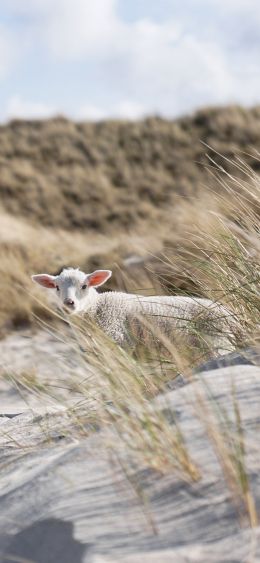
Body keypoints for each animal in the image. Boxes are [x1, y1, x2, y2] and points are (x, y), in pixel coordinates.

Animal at [32, 268, 236, 352]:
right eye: (56, 287)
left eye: (84, 286)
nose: (69, 303)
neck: (96, 308)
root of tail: (232, 317)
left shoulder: (120, 341)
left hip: (218, 340)